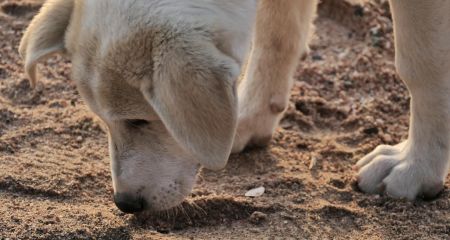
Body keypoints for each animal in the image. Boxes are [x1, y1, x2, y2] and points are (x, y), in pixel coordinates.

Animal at [19, 0, 448, 214]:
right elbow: (275, 33)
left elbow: (421, 63)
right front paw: (247, 118)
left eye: (140, 120)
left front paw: (415, 166)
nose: (124, 205)